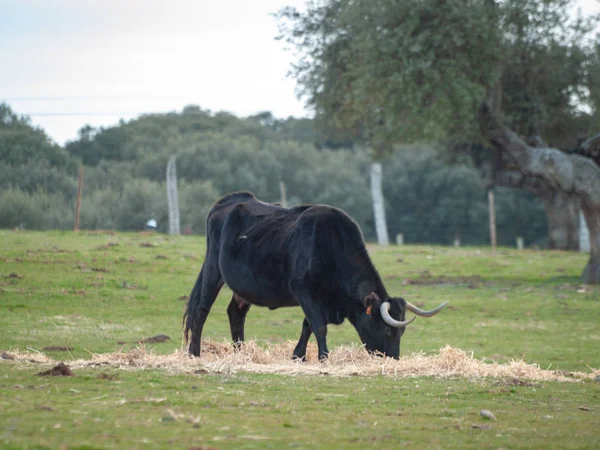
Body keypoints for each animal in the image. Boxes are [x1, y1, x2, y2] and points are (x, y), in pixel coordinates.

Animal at [185, 192, 448, 360]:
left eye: (401, 332)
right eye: (387, 331)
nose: (393, 358)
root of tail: (231, 200)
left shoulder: (319, 298)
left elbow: (307, 326)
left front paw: (298, 356)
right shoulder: (304, 291)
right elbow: (319, 326)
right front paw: (323, 357)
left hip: (244, 288)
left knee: (236, 314)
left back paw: (242, 353)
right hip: (213, 271)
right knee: (201, 310)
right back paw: (194, 352)